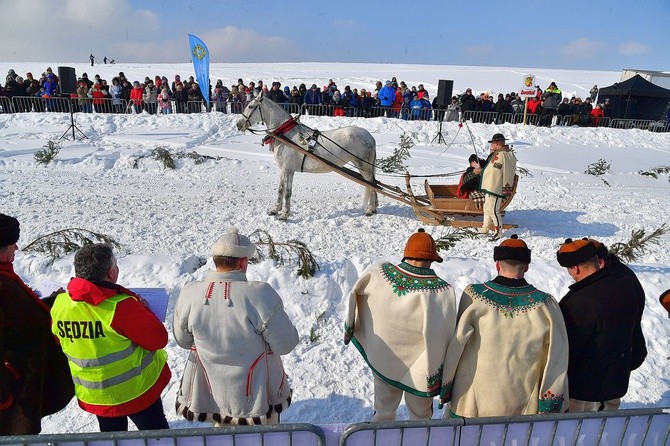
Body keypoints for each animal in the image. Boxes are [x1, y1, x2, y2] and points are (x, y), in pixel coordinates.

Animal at [238, 95, 378, 220]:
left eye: (250, 106)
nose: (238, 124)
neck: (285, 134)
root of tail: (370, 137)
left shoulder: (288, 170)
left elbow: (287, 193)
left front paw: (284, 214)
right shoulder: (283, 170)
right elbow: (280, 190)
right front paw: (275, 209)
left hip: (363, 165)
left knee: (371, 184)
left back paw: (370, 209)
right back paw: (374, 207)